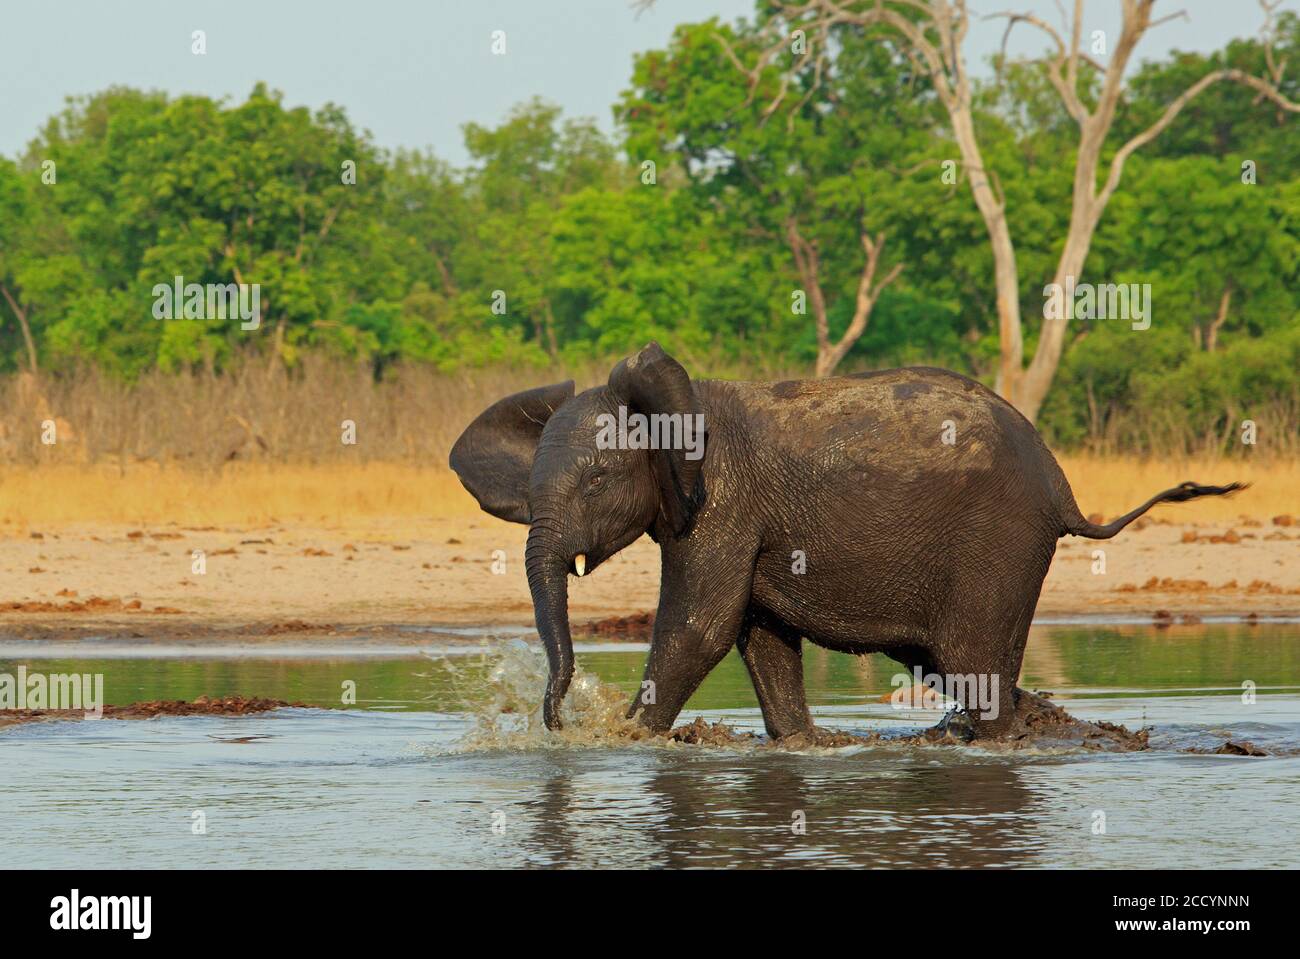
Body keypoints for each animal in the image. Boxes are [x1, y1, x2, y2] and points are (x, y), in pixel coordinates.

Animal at [452, 343, 1242, 738]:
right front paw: (801, 746)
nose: (555, 719)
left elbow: (700, 626)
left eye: (598, 479)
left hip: (1001, 541)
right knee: (950, 666)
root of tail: (1062, 488)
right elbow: (759, 637)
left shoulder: (722, 504)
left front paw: (625, 737)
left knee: (972, 667)